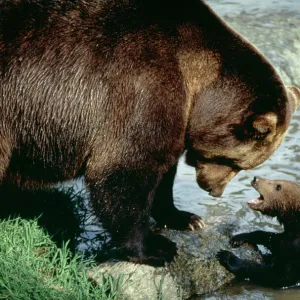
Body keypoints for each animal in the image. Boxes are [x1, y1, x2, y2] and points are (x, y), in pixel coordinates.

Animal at [0, 0, 298, 264]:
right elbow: (124, 171)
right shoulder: (141, 88)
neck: (198, 89)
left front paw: (185, 218)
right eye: (236, 164)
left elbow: (164, 172)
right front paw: (155, 247)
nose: (214, 191)